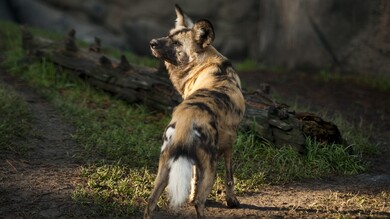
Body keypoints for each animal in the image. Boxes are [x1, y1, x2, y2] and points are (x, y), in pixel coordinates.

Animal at [145, 3, 245, 219]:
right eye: (168, 36)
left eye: (176, 43)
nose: (152, 42)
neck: (208, 63)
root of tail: (186, 119)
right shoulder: (229, 145)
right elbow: (230, 177)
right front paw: (232, 201)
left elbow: (192, 179)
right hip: (210, 166)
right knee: (200, 203)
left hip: (165, 166)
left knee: (150, 202)